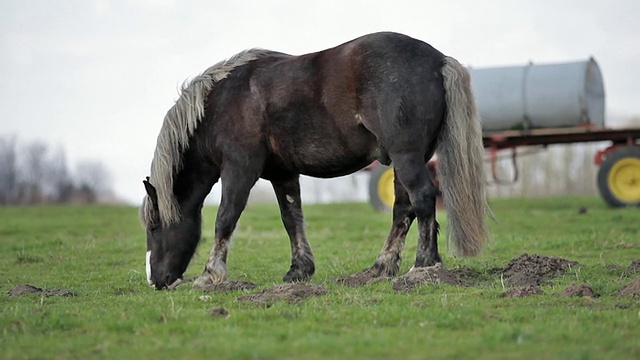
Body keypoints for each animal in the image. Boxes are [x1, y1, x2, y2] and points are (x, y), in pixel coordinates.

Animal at [141, 31, 490, 290]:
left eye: (155, 225)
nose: (155, 280)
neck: (223, 102)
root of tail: (439, 60)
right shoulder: (282, 174)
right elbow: (292, 219)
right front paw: (299, 270)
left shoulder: (239, 169)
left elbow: (226, 217)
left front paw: (210, 273)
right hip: (405, 161)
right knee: (404, 209)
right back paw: (380, 267)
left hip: (406, 156)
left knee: (424, 198)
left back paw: (423, 265)